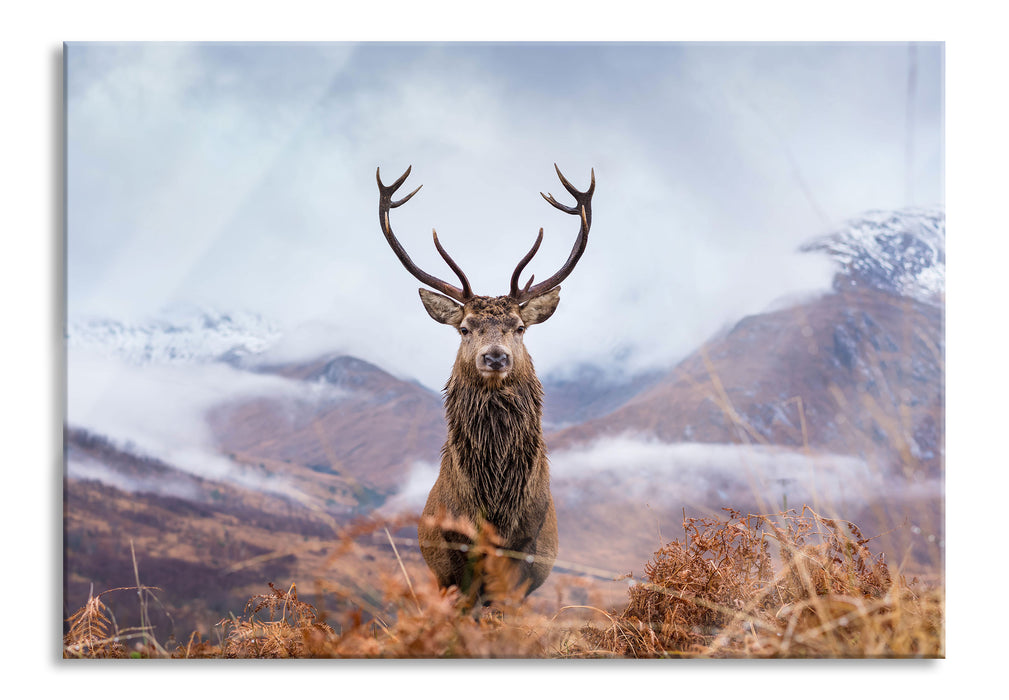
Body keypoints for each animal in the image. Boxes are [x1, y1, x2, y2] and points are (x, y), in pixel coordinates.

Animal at [379, 163, 593, 605]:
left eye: (520, 327)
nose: (495, 357)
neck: (494, 506)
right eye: (464, 328)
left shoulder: (523, 554)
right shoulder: (453, 558)